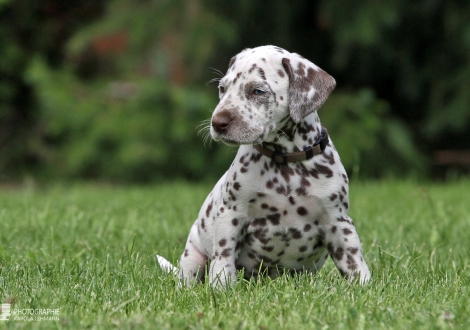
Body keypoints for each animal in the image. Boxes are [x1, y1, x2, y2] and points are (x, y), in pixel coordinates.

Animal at [158, 45, 370, 286]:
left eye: (257, 91)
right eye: (222, 89)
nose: (217, 123)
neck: (285, 162)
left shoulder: (338, 221)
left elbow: (354, 261)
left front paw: (364, 286)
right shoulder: (231, 214)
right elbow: (224, 257)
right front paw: (221, 288)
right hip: (193, 257)